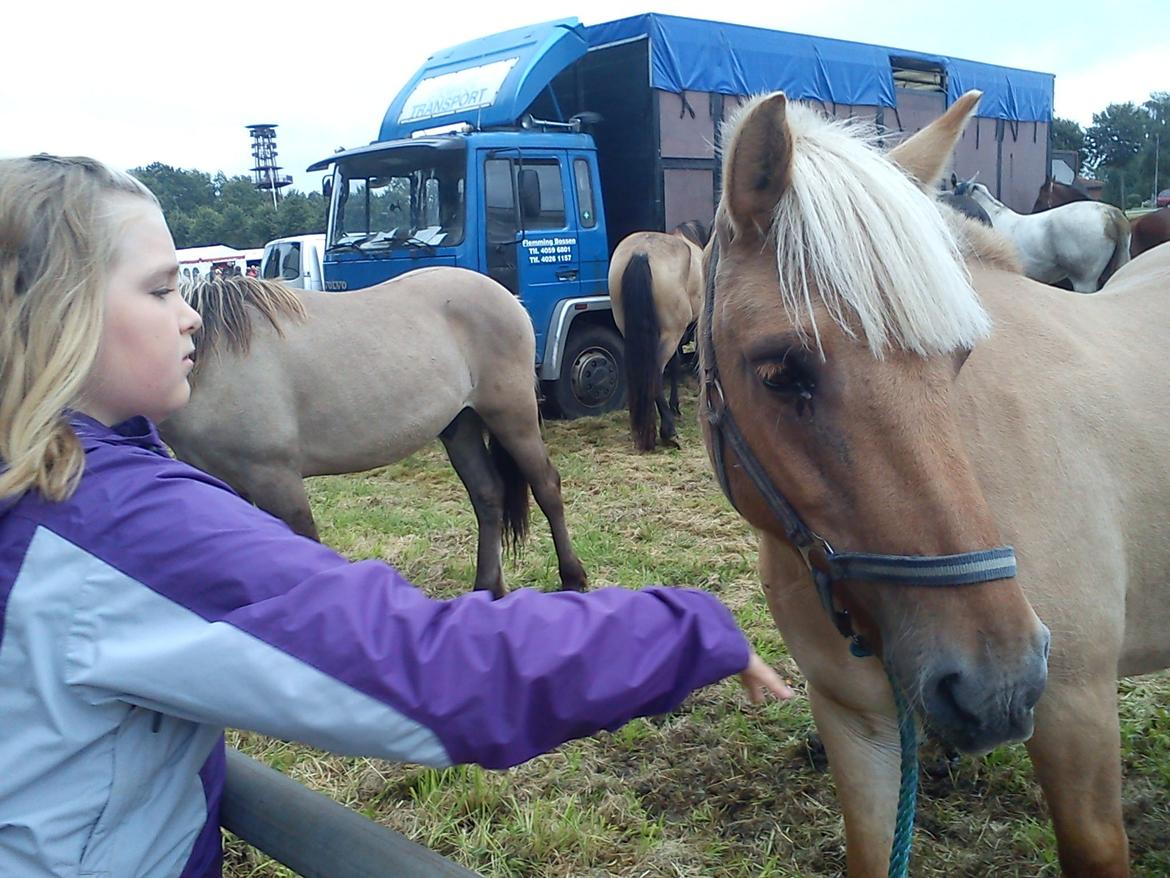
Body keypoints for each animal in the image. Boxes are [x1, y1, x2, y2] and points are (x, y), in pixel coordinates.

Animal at [160, 268, 589, 599]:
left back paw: (573, 578)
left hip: (513, 415)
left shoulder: (276, 478)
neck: (214, 360)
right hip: (460, 426)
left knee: (547, 487)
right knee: (488, 495)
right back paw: (488, 589)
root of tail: (507, 296)